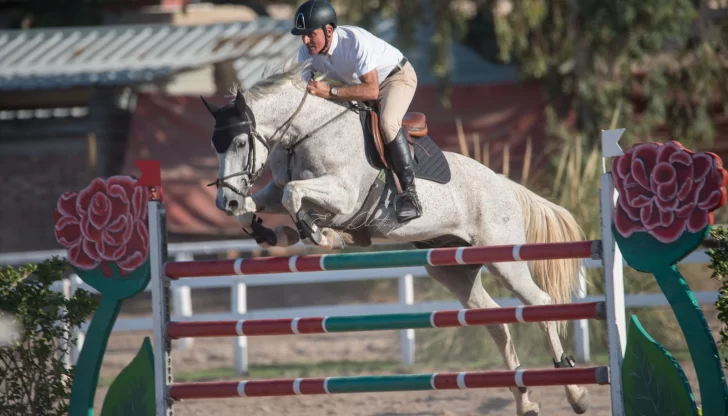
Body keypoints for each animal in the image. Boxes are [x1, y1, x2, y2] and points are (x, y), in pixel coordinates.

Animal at [200, 61, 592, 416]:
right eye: (215, 146)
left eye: (239, 142)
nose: (224, 201)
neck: (307, 133)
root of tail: (503, 183)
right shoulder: (281, 187)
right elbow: (266, 200)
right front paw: (268, 227)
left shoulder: (342, 195)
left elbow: (293, 195)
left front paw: (323, 235)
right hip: (454, 269)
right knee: (497, 323)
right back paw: (525, 400)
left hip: (502, 257)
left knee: (540, 304)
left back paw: (575, 391)